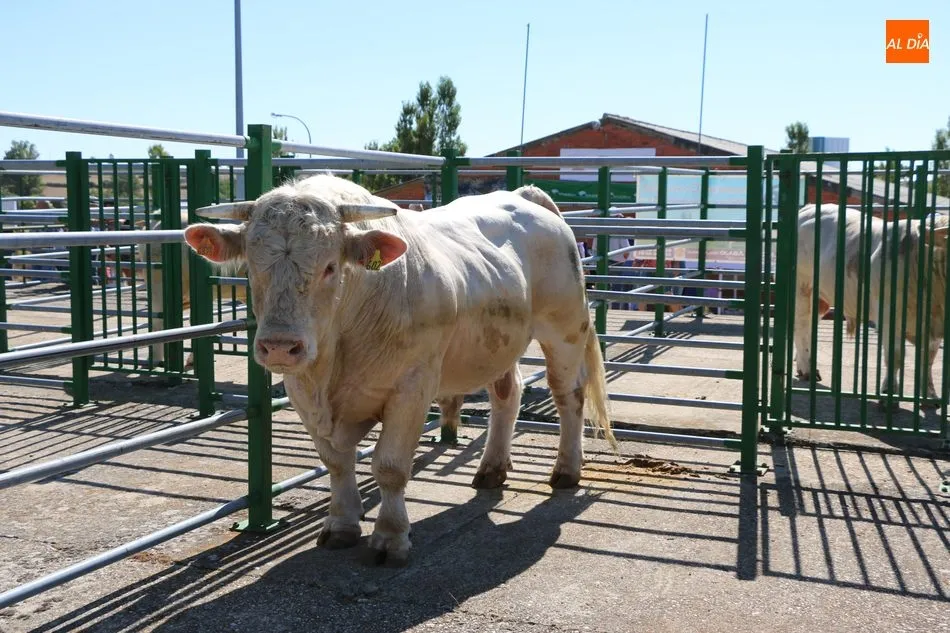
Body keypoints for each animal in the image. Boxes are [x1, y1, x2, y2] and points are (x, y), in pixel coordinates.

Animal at [183, 173, 617, 565]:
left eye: (329, 267)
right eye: (252, 266)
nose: (279, 346)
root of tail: (525, 197)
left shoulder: (411, 388)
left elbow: (389, 466)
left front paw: (391, 538)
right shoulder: (301, 391)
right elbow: (336, 462)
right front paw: (341, 526)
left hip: (564, 328)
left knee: (568, 396)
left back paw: (566, 470)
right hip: (496, 343)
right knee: (507, 395)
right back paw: (492, 468)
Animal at [793, 203, 949, 406]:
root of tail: (808, 209)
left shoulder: (934, 327)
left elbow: (928, 359)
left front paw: (930, 396)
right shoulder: (889, 315)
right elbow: (895, 356)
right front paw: (888, 395)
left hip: (821, 297)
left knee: (809, 326)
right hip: (802, 286)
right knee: (801, 324)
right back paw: (807, 370)